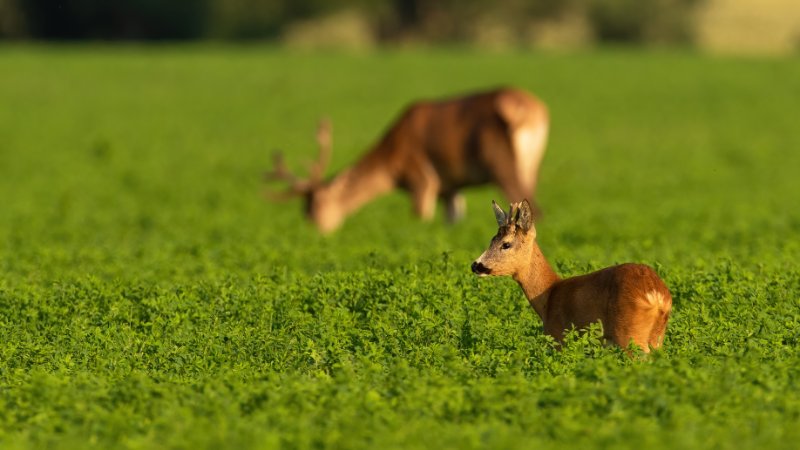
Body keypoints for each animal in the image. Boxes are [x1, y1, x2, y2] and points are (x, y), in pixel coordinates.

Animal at [266, 89, 548, 236]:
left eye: (314, 207)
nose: (315, 232)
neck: (392, 165)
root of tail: (534, 111)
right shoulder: (449, 187)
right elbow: (452, 220)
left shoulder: (422, 179)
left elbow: (420, 218)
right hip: (532, 165)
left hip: (502, 164)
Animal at [472, 200, 672, 352]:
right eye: (492, 240)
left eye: (506, 244)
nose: (476, 265)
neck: (549, 296)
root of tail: (656, 295)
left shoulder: (558, 336)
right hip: (657, 338)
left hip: (630, 334)